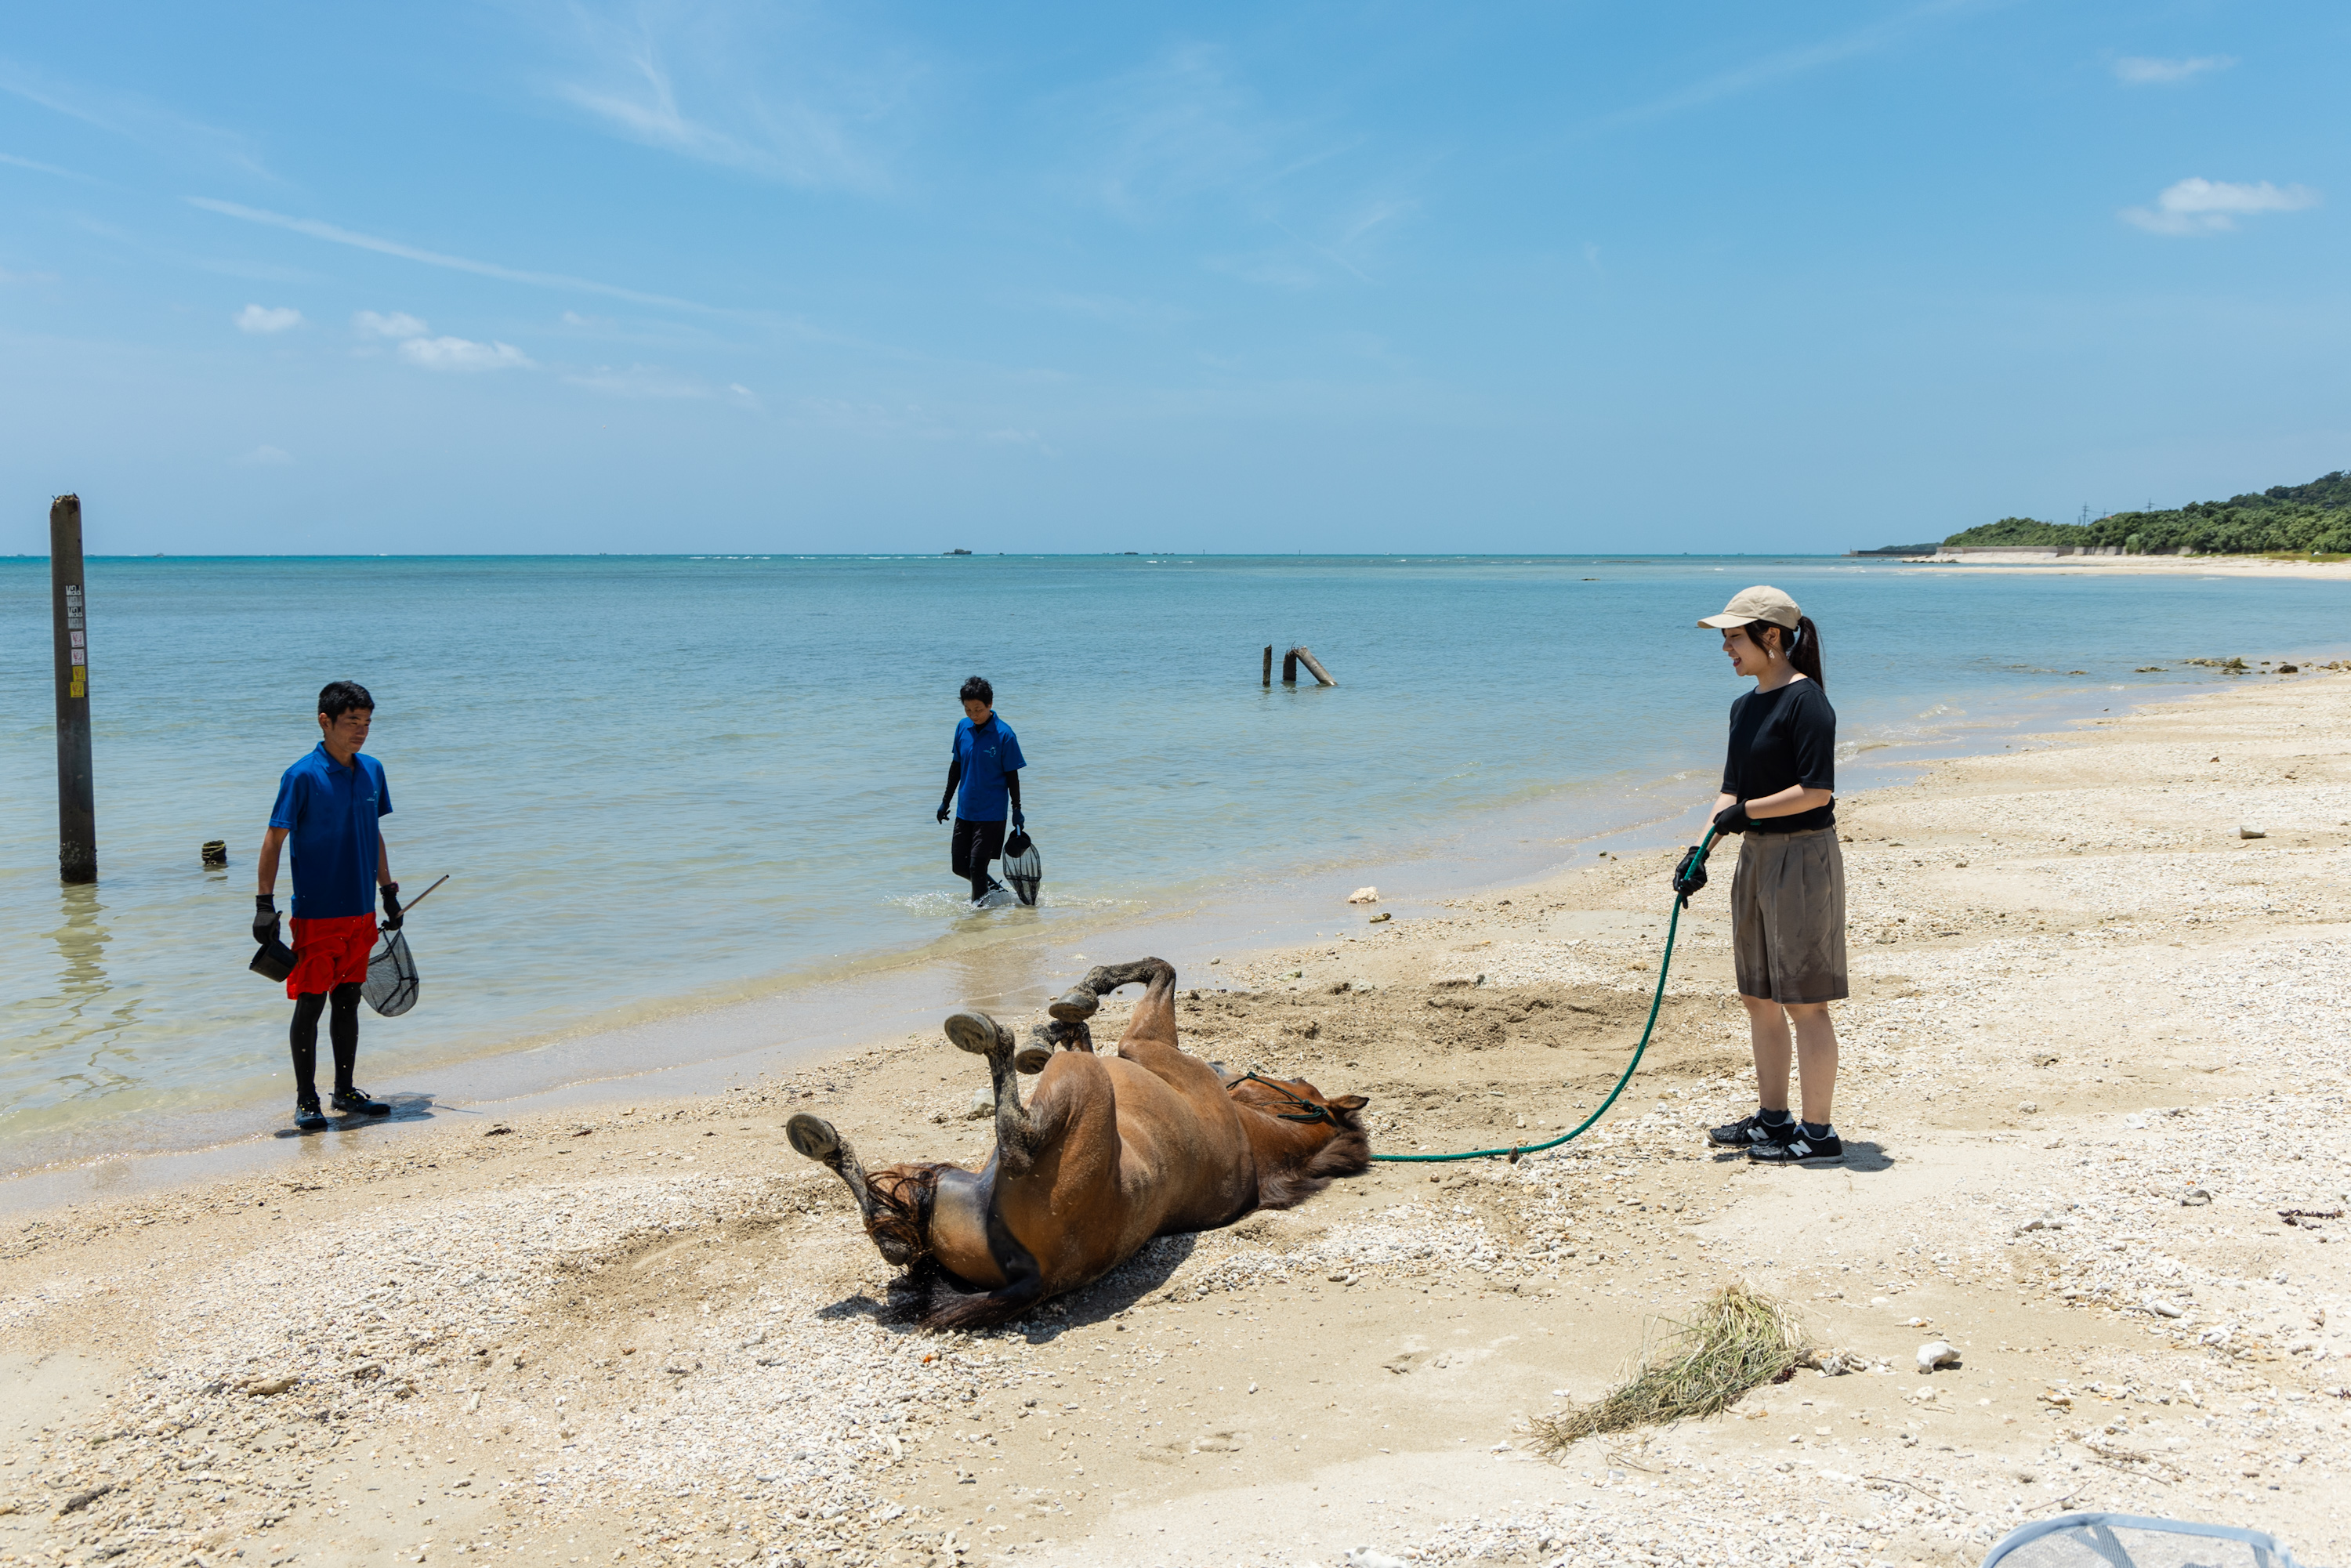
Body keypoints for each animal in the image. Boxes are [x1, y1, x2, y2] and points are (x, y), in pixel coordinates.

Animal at [790, 950, 1373, 1335]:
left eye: (1298, 1083)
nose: (1224, 1068)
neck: (1250, 1136)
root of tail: (1033, 1278)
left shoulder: (1140, 1043)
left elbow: (1158, 970)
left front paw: (1081, 997)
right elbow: (1081, 1029)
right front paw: (1053, 1028)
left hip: (1077, 1088)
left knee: (1014, 1140)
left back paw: (988, 1038)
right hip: (941, 1183)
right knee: (892, 1237)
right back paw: (825, 1142)